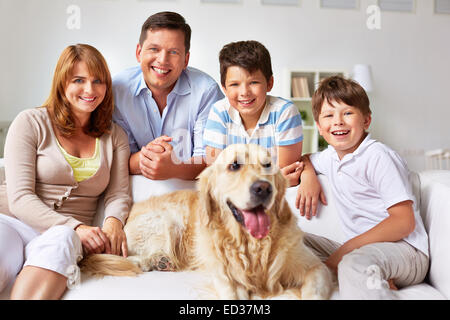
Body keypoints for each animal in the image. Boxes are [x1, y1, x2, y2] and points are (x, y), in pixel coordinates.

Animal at [81, 144, 332, 298]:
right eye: (234, 165)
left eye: (268, 165)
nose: (263, 188)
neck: (252, 244)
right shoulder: (224, 275)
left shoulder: (315, 267)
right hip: (167, 221)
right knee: (126, 256)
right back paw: (157, 260)